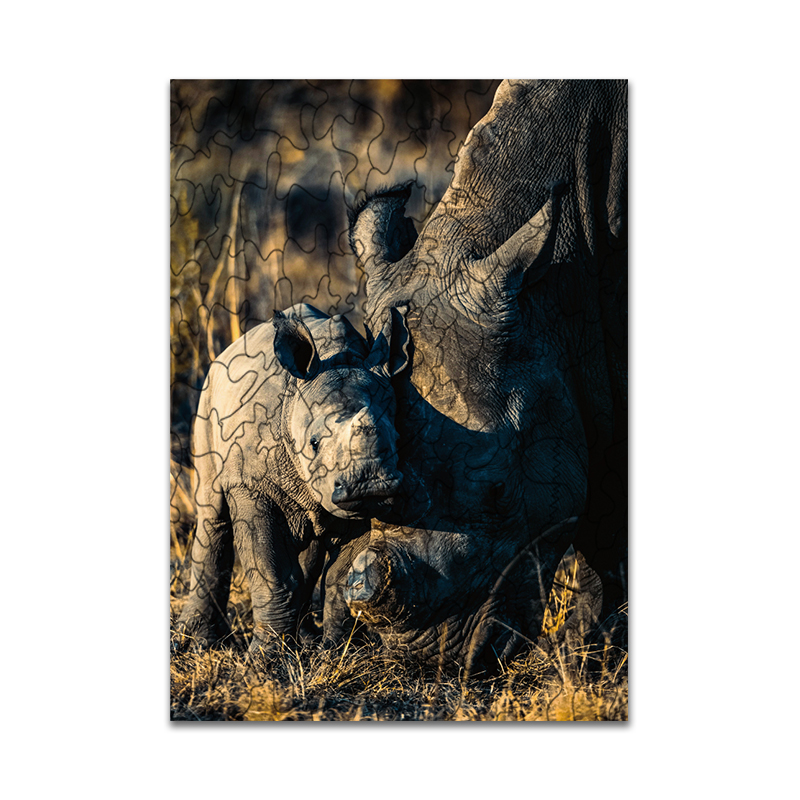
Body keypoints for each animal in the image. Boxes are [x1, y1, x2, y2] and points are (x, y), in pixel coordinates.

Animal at [175, 303, 411, 654]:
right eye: (313, 443)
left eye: (396, 440)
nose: (370, 485)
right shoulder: (250, 484)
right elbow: (270, 574)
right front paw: (268, 659)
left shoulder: (359, 506)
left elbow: (339, 578)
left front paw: (338, 652)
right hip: (208, 400)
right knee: (211, 513)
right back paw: (198, 644)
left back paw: (307, 640)